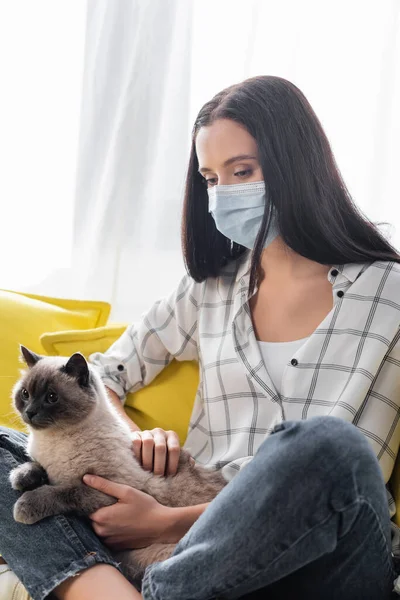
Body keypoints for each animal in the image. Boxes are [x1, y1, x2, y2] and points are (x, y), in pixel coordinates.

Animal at [10, 346, 227, 580]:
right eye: (25, 394)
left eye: (52, 397)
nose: (30, 412)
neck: (55, 439)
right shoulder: (49, 467)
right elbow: (36, 467)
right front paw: (20, 477)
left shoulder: (104, 490)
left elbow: (61, 492)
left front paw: (24, 506)